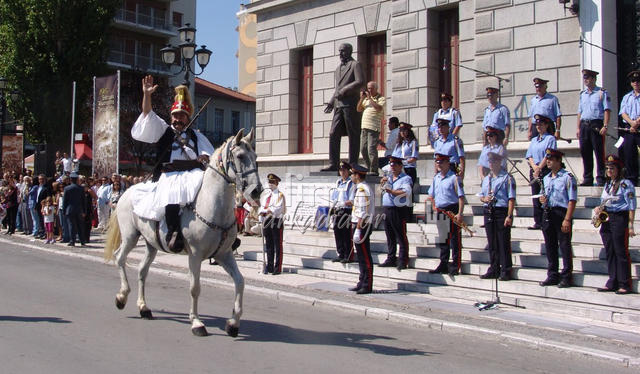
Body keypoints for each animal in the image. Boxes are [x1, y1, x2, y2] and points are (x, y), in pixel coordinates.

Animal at [104, 129, 262, 336]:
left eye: (256, 157)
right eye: (240, 156)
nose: (257, 191)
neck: (212, 205)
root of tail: (128, 190)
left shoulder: (224, 254)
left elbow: (240, 282)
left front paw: (233, 323)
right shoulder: (195, 255)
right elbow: (195, 287)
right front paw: (196, 323)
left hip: (150, 244)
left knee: (142, 270)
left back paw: (144, 308)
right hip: (130, 236)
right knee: (119, 257)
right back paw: (121, 297)